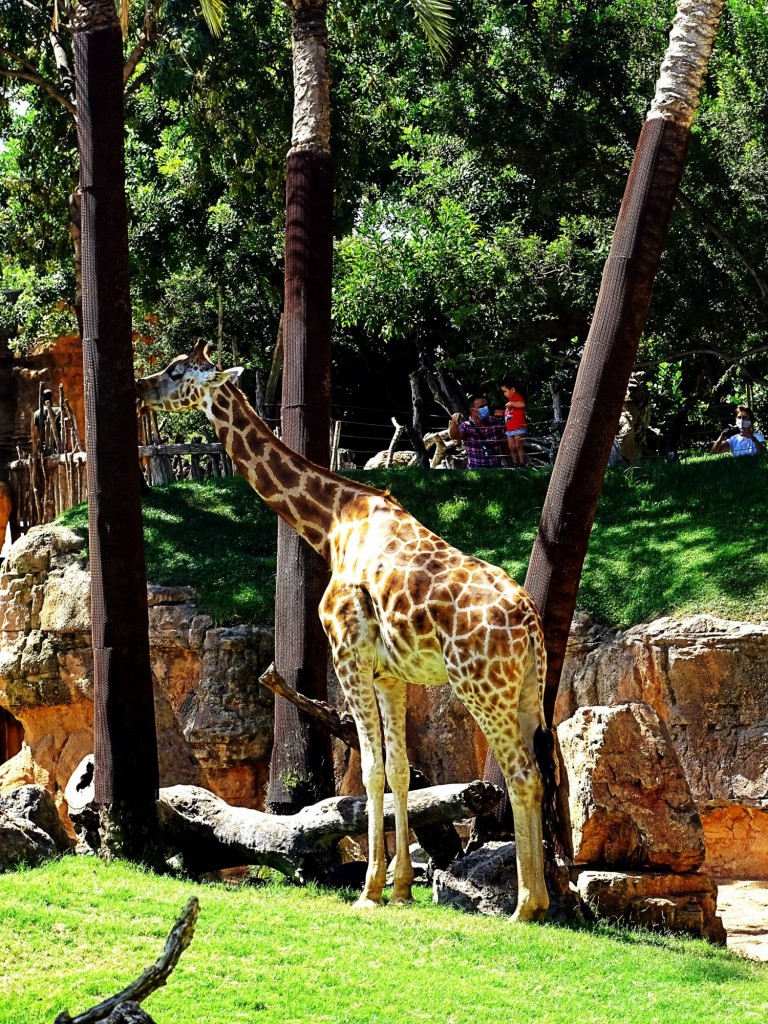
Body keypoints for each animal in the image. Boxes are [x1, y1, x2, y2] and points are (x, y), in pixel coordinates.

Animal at [136, 342, 550, 921]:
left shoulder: (347, 655)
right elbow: (399, 771)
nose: (139, 388)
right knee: (537, 772)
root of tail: (530, 623)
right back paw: (542, 898)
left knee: (521, 775)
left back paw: (525, 906)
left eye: (177, 372)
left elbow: (369, 771)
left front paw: (369, 890)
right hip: (527, 690)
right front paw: (400, 888)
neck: (333, 523)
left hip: (481, 686)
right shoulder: (390, 675)